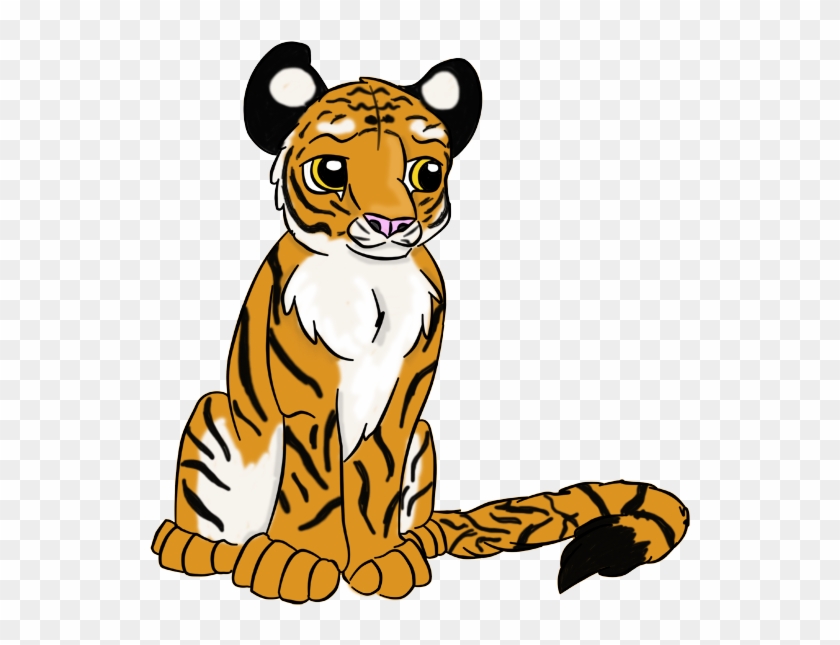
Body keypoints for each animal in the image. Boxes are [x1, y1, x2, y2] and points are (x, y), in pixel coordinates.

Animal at [150, 42, 690, 602]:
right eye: (331, 171)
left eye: (426, 173)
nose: (392, 222)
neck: (368, 276)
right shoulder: (307, 392)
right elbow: (313, 482)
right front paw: (298, 559)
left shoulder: (406, 394)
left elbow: (374, 479)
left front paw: (381, 559)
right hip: (214, 415)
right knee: (202, 531)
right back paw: (207, 548)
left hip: (422, 440)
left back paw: (416, 540)